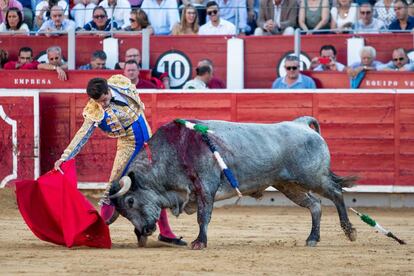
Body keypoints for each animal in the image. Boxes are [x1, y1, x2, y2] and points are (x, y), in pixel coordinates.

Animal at [108, 115, 358, 249]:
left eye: (130, 201)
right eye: (123, 213)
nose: (143, 231)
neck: (175, 150)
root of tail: (301, 123)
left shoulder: (205, 187)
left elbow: (203, 216)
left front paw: (200, 242)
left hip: (314, 177)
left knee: (336, 193)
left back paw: (349, 231)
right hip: (288, 186)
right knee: (315, 205)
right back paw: (312, 238)